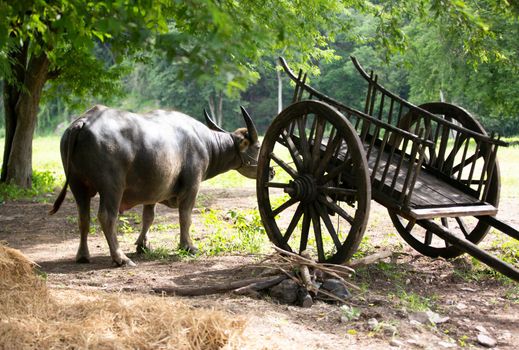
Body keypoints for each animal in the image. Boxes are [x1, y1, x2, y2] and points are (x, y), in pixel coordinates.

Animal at [50, 105, 264, 266]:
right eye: (258, 146)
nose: (269, 171)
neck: (205, 144)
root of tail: (83, 122)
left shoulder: (152, 191)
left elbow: (148, 217)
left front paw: (142, 244)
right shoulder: (192, 186)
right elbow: (185, 216)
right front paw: (188, 246)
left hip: (77, 185)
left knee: (83, 217)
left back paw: (82, 255)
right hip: (112, 186)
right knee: (106, 216)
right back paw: (120, 258)